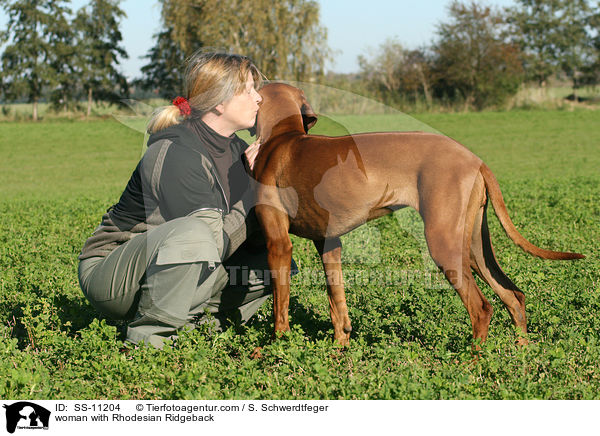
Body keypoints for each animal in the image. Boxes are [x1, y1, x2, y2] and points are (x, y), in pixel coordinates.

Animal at [251, 82, 584, 348]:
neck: (284, 139)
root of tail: (475, 160)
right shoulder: (329, 243)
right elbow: (337, 303)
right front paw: (339, 348)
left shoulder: (278, 244)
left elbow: (280, 306)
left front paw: (276, 347)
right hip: (474, 247)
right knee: (514, 296)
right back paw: (521, 353)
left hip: (444, 244)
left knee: (482, 309)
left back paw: (471, 363)